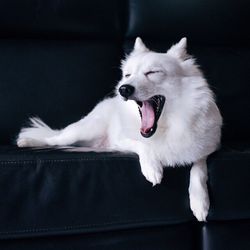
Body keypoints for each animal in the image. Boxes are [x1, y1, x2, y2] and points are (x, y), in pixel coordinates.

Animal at [16, 37, 222, 221]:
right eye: (128, 75)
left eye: (152, 72)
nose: (124, 89)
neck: (167, 125)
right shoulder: (121, 141)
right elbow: (143, 146)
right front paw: (152, 167)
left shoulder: (205, 147)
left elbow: (199, 168)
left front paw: (200, 202)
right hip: (82, 131)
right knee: (55, 139)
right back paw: (27, 141)